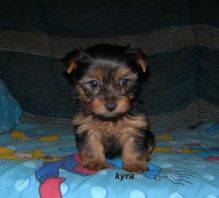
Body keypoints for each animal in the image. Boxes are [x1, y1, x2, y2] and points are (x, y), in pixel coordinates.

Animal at [63, 44, 156, 172]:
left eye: (124, 82)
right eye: (94, 83)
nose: (111, 105)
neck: (109, 119)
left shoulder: (135, 125)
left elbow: (134, 145)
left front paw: (134, 164)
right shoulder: (87, 126)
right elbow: (91, 144)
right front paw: (95, 162)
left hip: (150, 137)